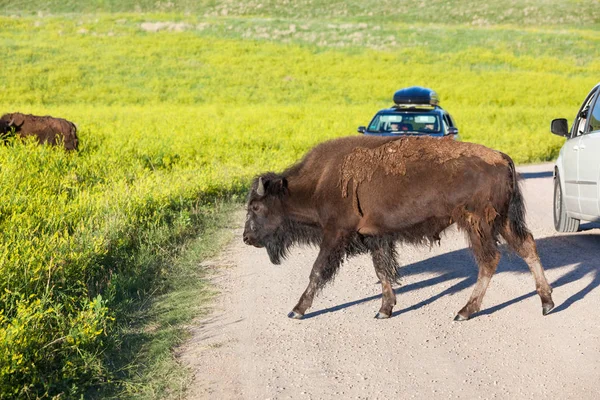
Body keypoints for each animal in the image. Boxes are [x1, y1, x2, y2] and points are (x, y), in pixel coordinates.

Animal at [241, 136, 556, 320]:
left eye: (255, 207)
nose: (246, 237)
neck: (320, 181)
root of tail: (502, 157)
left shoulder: (336, 233)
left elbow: (317, 271)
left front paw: (296, 310)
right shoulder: (375, 236)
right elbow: (382, 271)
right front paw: (384, 310)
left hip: (477, 223)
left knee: (489, 260)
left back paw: (464, 312)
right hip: (502, 221)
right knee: (527, 246)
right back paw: (546, 303)